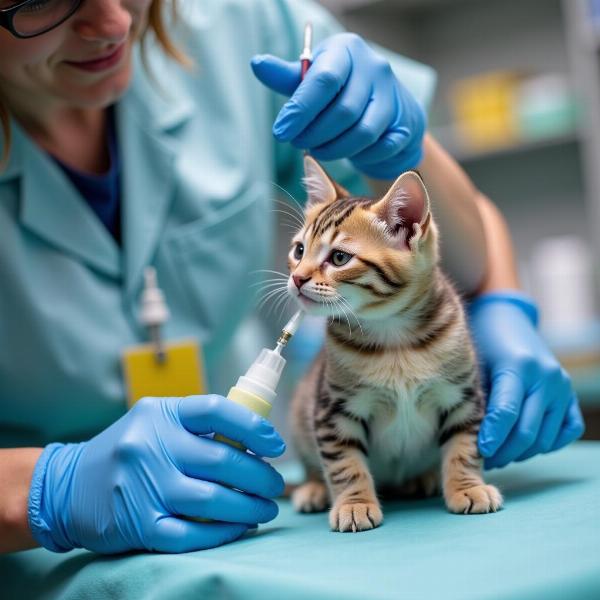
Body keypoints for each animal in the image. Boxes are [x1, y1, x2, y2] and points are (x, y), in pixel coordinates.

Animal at [286, 157, 502, 532]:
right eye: (299, 250)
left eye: (339, 258)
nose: (297, 278)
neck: (393, 336)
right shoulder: (333, 410)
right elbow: (344, 464)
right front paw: (354, 504)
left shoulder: (462, 396)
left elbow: (464, 447)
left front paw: (467, 487)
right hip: (301, 412)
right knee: (313, 465)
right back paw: (313, 489)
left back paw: (425, 477)